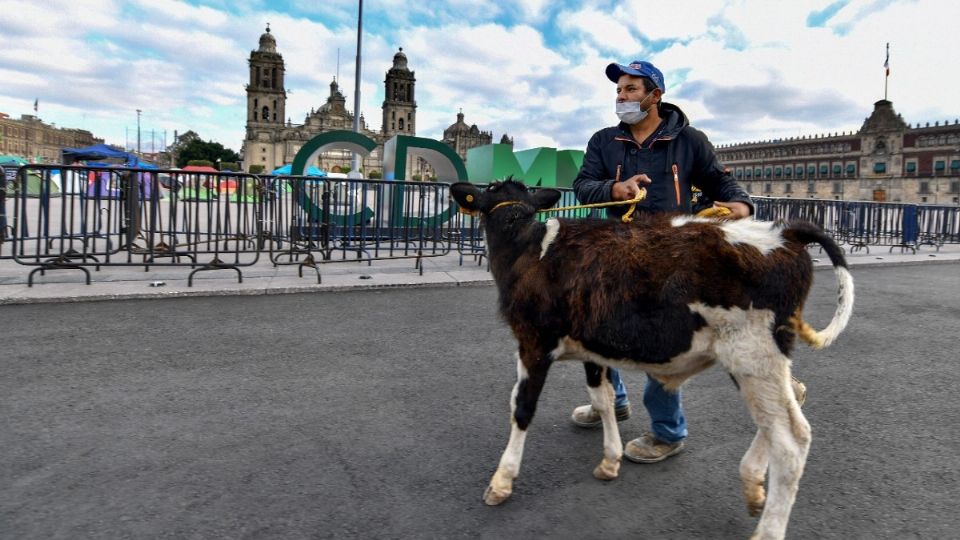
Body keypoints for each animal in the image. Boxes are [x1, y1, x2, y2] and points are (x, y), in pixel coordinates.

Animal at [450, 180, 856, 540]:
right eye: (494, 199)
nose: (510, 225)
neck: (527, 246)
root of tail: (788, 233)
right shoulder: (591, 346)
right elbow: (604, 399)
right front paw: (610, 460)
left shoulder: (534, 340)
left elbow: (522, 408)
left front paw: (502, 481)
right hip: (764, 359)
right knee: (793, 403)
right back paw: (753, 484)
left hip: (753, 356)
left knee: (790, 442)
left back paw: (768, 529)